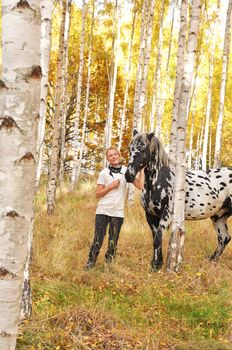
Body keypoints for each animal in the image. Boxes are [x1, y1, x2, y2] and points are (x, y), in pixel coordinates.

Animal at [125, 131, 232, 270]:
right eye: (130, 148)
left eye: (143, 148)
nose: (129, 175)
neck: (159, 180)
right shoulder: (151, 216)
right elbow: (156, 239)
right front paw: (157, 263)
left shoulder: (167, 214)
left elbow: (158, 239)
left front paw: (155, 266)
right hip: (219, 216)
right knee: (224, 238)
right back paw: (212, 261)